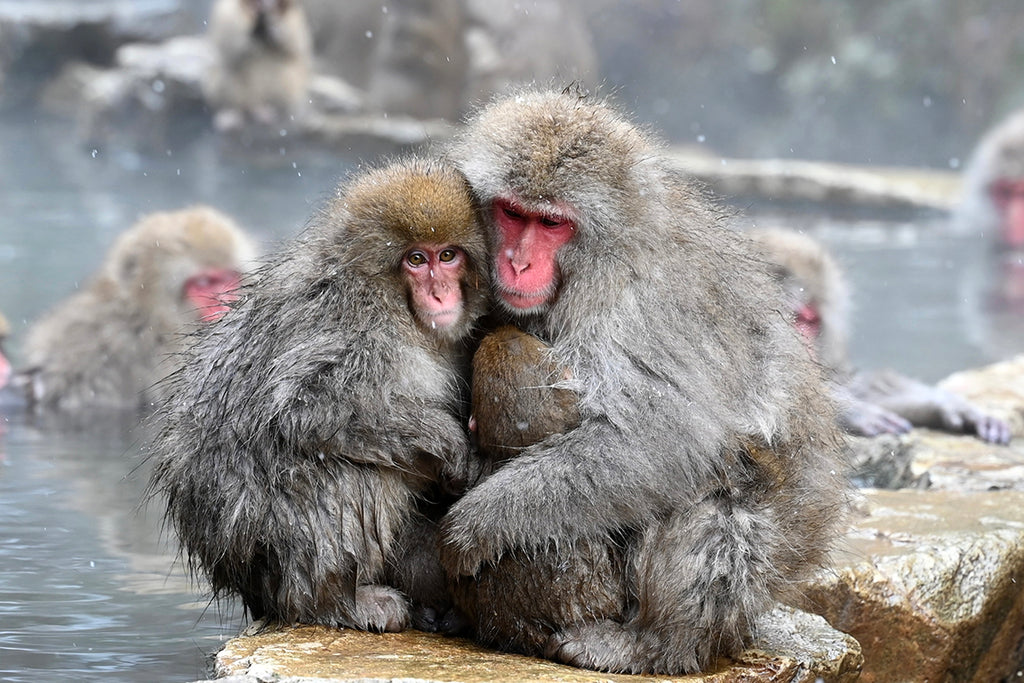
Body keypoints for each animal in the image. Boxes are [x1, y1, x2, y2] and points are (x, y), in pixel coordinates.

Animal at [148, 157, 491, 634]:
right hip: (273, 543)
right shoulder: (358, 328)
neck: (398, 309)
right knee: (351, 471)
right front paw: (449, 441)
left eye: (448, 255)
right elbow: (308, 409)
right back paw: (333, 603)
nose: (440, 293)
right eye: (416, 260)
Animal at [200, 0, 309, 131]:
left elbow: (295, 46)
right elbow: (229, 45)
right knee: (228, 72)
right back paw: (236, 111)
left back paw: (273, 111)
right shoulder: (227, 14)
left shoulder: (294, 19)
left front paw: (275, 18)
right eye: (256, 4)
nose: (265, 7)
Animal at [440, 88, 847, 675]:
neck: (596, 262)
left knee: (719, 495)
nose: (517, 263)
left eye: (552, 224)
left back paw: (660, 643)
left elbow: (659, 440)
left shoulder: (642, 306)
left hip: (762, 567)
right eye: (513, 214)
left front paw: (480, 521)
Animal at [749, 227, 1011, 446]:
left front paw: (948, 405)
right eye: (796, 318)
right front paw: (851, 411)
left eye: (811, 321)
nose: (807, 346)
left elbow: (853, 383)